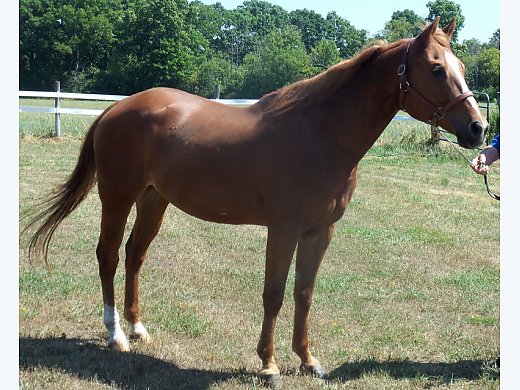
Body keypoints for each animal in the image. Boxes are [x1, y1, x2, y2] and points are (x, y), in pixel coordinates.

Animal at [24, 17, 488, 386]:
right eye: (436, 69)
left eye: (462, 68)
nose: (478, 129)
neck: (319, 134)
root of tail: (115, 109)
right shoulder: (283, 230)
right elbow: (274, 294)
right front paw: (269, 365)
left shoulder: (320, 231)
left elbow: (304, 293)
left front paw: (309, 360)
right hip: (117, 197)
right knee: (108, 255)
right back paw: (115, 334)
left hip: (153, 201)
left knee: (136, 255)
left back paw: (138, 328)